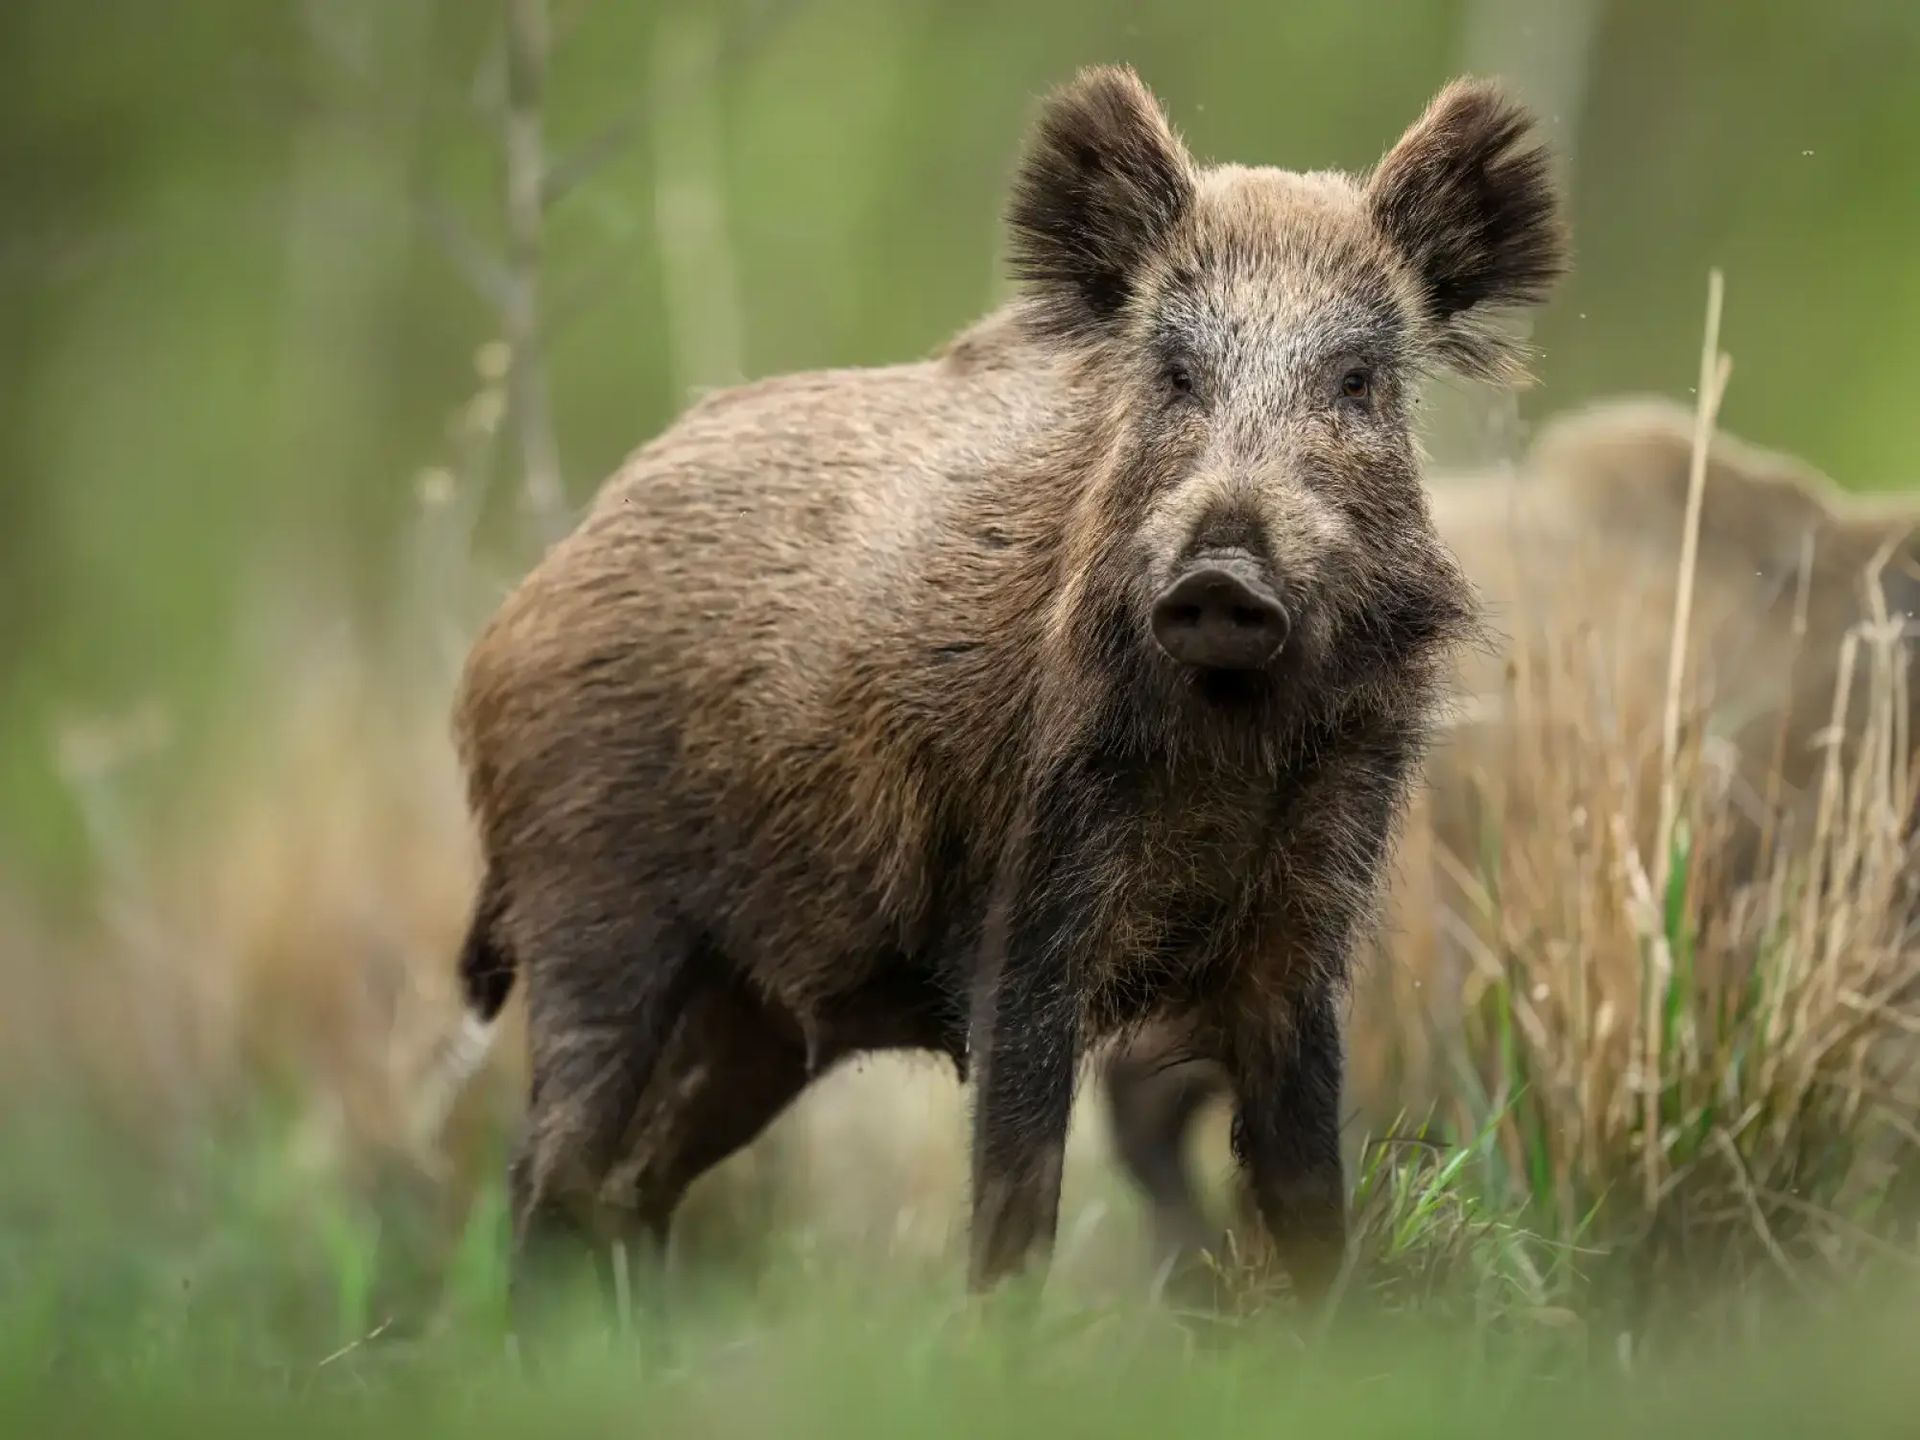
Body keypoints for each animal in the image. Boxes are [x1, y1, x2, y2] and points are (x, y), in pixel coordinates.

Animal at [450, 64, 1565, 1307]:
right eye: (1174, 373)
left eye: (1359, 379)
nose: (1222, 576)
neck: (1227, 743)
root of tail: (513, 621)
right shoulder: (1025, 914)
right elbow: (1018, 1197)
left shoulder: (1310, 914)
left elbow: (1307, 1191)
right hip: (593, 908)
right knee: (549, 1180)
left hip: (749, 1009)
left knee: (633, 1189)